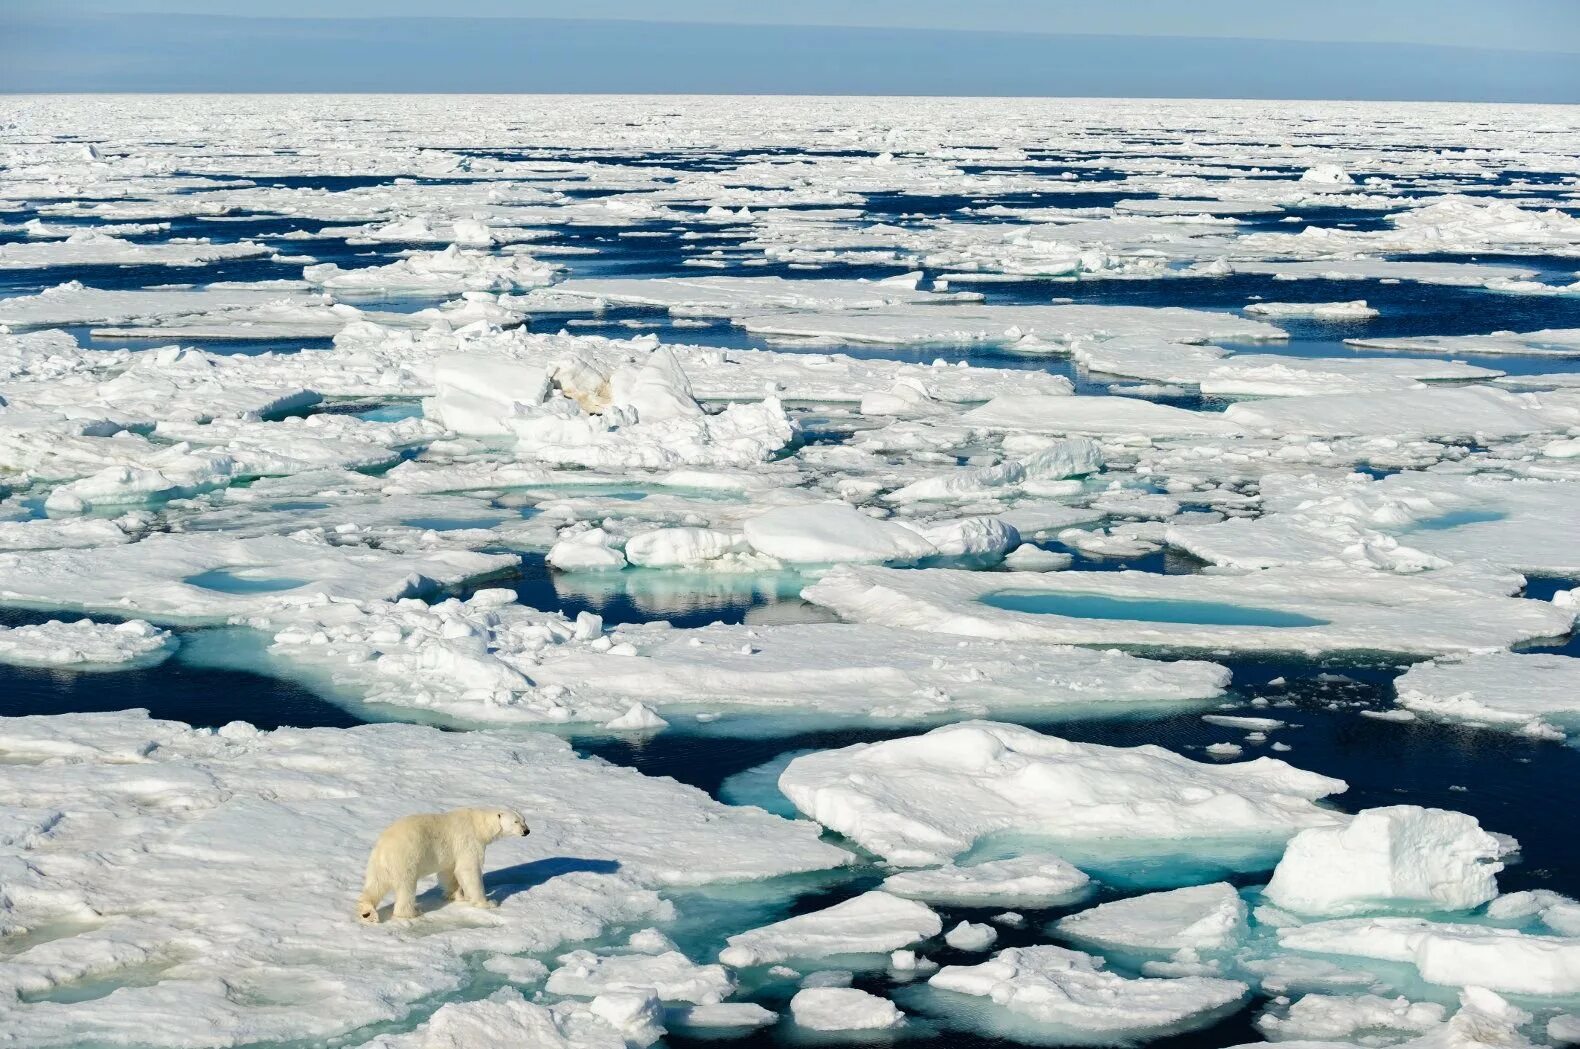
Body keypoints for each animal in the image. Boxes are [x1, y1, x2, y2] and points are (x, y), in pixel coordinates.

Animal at [358, 805, 530, 922]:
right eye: (516, 821)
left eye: (524, 819)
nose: (527, 831)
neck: (479, 824)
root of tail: (383, 849)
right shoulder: (469, 841)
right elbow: (469, 870)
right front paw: (488, 903)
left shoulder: (450, 852)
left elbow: (449, 872)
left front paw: (456, 896)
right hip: (406, 859)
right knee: (406, 887)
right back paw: (412, 912)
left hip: (378, 865)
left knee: (375, 885)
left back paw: (367, 912)